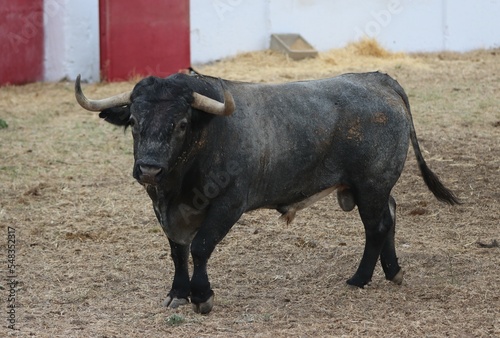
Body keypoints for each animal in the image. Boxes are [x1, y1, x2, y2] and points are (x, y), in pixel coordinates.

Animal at [75, 71, 460, 314]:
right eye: (134, 122)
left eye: (181, 123)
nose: (149, 169)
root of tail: (379, 80)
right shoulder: (166, 210)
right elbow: (178, 252)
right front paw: (178, 293)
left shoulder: (228, 204)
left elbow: (200, 247)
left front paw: (202, 296)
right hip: (373, 188)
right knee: (390, 215)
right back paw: (393, 271)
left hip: (371, 184)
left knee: (376, 227)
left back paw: (359, 279)